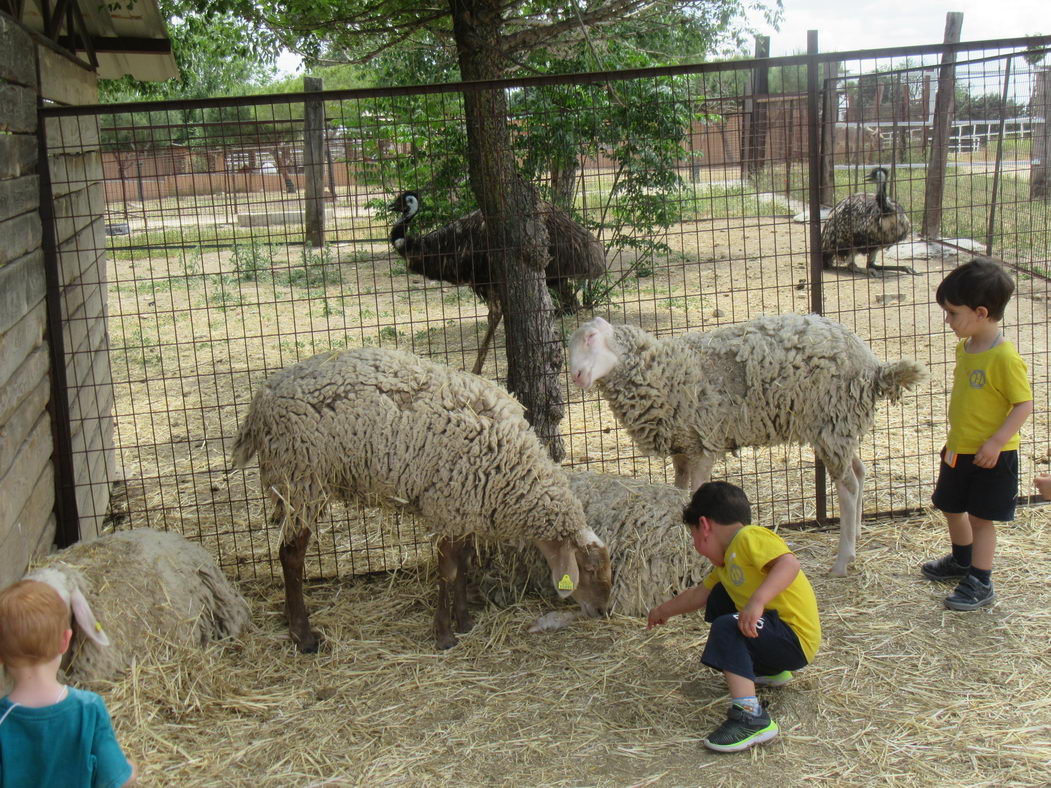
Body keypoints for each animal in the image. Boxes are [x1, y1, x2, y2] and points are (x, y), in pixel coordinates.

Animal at [225, 348, 613, 651]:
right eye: (588, 569)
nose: (603, 612)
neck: (514, 470)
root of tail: (261, 401)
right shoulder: (446, 505)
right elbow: (448, 571)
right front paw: (444, 635)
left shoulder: (463, 507)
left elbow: (463, 563)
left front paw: (464, 621)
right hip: (301, 479)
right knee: (291, 555)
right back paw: (303, 636)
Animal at [567, 310, 929, 575]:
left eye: (591, 338)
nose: (576, 377)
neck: (664, 371)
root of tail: (874, 366)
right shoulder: (682, 447)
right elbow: (678, 491)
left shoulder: (703, 442)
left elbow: (693, 494)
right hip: (838, 427)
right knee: (860, 471)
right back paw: (856, 535)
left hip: (831, 422)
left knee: (848, 485)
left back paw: (843, 560)